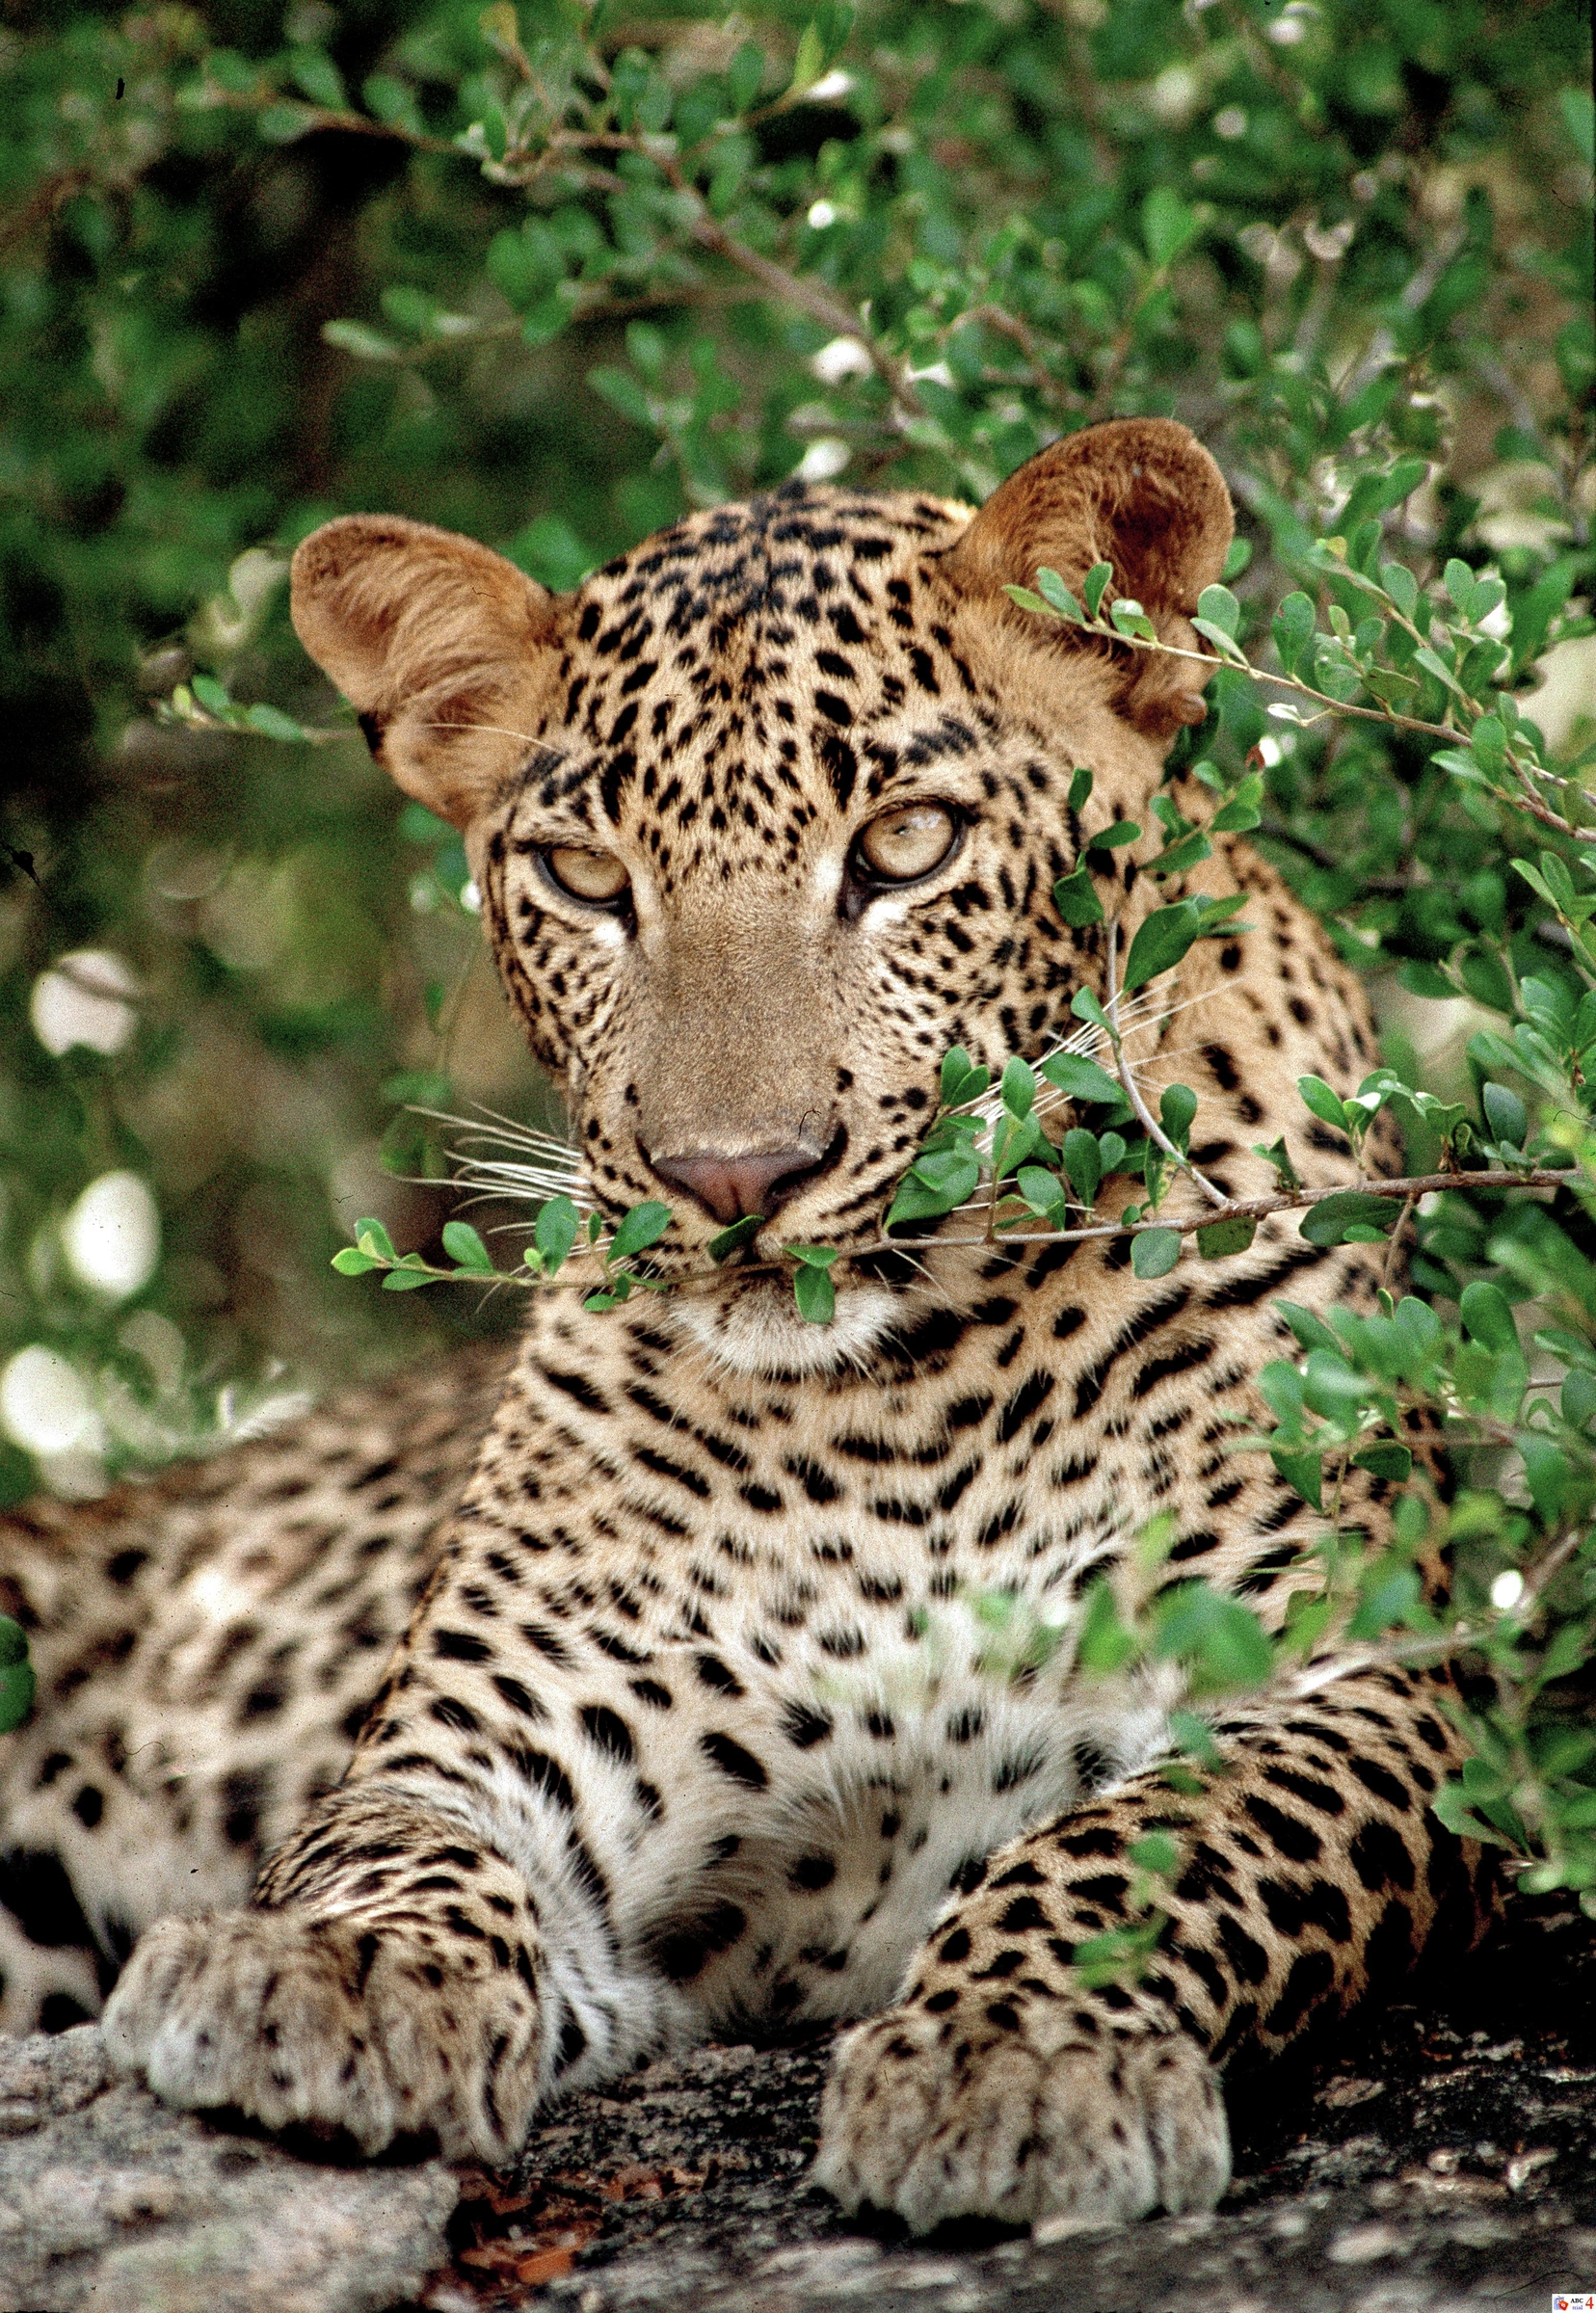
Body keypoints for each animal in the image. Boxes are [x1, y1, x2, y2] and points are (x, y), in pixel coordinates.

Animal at [0, 418, 1492, 2234]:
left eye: (905, 845)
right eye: (583, 879)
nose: (734, 1178)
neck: (904, 1403)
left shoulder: (1364, 1683)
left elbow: (1157, 1847)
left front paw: (1015, 2053)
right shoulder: (498, 1740)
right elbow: (396, 1842)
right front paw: (327, 1974)